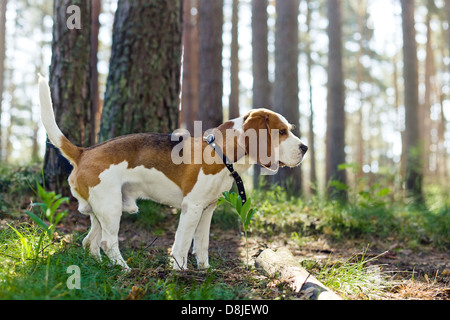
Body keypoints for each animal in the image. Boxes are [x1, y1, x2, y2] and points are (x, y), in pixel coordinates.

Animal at [38, 75, 308, 270]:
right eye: (282, 131)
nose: (305, 148)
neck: (221, 152)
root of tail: (84, 152)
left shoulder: (208, 209)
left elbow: (202, 245)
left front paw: (205, 270)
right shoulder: (192, 208)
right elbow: (182, 244)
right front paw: (179, 271)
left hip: (100, 210)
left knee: (90, 242)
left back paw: (101, 267)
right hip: (111, 207)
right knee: (107, 242)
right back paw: (124, 269)